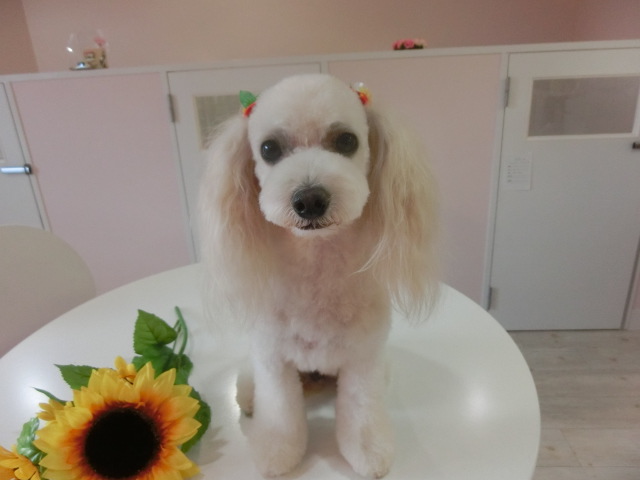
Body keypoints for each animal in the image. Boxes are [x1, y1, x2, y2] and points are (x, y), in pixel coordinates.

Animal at [199, 74, 439, 478]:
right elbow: (280, 411)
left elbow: (361, 410)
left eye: (346, 141)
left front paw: (367, 451)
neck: (317, 263)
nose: (309, 200)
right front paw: (278, 451)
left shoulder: (362, 360)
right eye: (269, 148)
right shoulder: (273, 359)